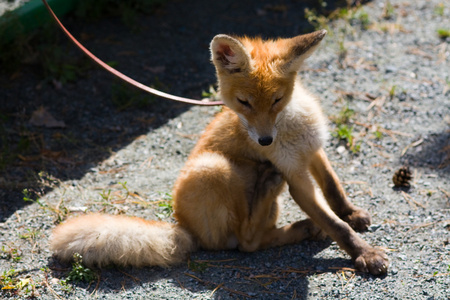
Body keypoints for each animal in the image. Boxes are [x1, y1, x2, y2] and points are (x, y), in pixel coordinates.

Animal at [48, 29, 386, 274]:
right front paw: (365, 253)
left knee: (261, 238)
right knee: (247, 242)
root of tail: (184, 228)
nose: (265, 141)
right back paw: (280, 201)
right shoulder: (295, 176)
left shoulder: (313, 150)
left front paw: (351, 213)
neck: (293, 129)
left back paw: (301, 226)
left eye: (276, 100)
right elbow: (337, 226)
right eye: (243, 103)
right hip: (215, 168)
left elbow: (333, 188)